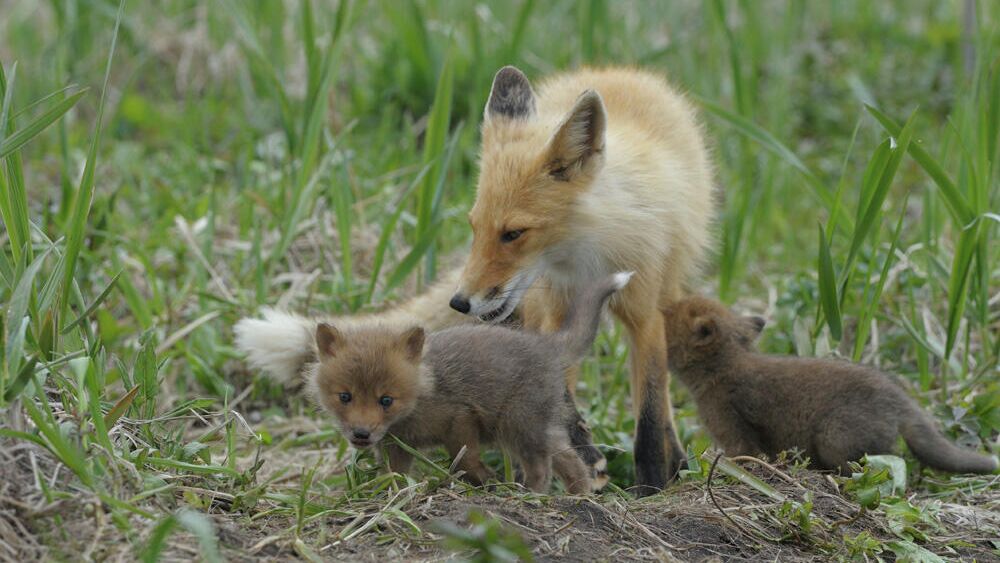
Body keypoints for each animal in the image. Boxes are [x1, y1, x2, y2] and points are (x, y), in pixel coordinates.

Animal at [660, 300, 996, 476]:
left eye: (667, 315)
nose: (658, 304)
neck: (725, 369)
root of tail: (901, 401)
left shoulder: (737, 435)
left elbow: (741, 459)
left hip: (833, 438)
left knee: (883, 462)